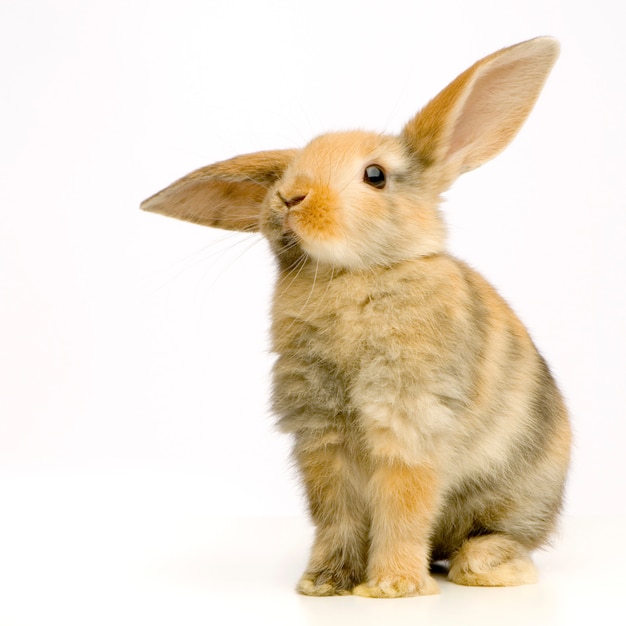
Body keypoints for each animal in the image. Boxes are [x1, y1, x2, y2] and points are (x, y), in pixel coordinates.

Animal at [141, 35, 572, 596]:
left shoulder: (407, 421)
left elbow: (403, 506)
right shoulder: (322, 434)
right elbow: (335, 514)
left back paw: (487, 567)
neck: (350, 276)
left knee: (499, 539)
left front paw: (392, 588)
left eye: (375, 176)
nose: (288, 197)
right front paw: (324, 584)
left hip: (515, 497)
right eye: (287, 172)